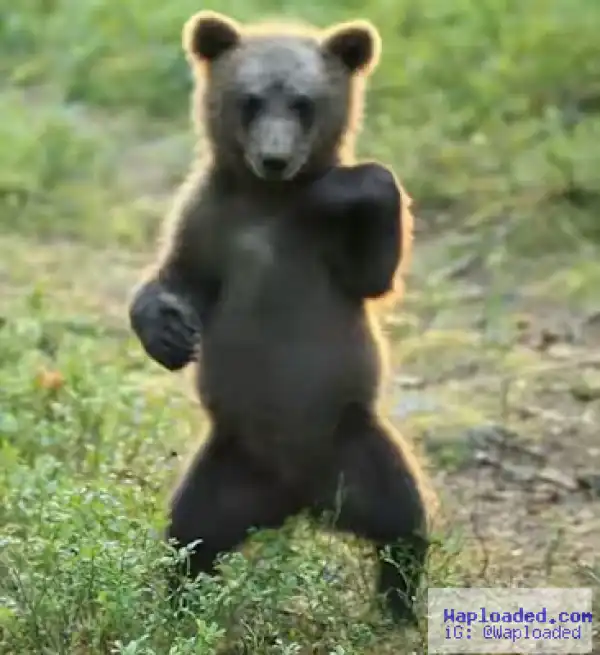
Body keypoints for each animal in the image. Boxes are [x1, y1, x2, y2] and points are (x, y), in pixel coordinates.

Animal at [128, 10, 435, 625]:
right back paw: (178, 608)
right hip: (228, 468)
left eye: (302, 103)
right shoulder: (209, 218)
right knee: (189, 537)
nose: (274, 158)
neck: (269, 201)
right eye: (249, 100)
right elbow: (177, 275)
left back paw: (398, 609)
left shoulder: (326, 243)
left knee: (403, 523)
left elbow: (374, 269)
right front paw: (168, 330)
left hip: (353, 445)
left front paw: (344, 185)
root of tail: (297, 498)